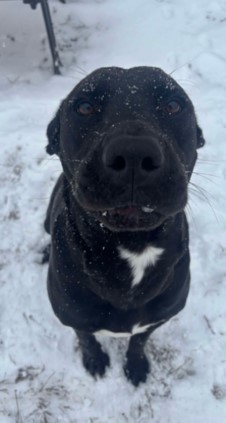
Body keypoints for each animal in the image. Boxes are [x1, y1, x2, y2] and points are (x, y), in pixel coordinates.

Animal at [44, 67, 205, 388]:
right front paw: (94, 360)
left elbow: (139, 341)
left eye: (174, 105)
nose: (133, 153)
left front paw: (136, 364)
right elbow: (86, 337)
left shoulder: (157, 319)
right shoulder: (72, 316)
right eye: (84, 107)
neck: (133, 245)